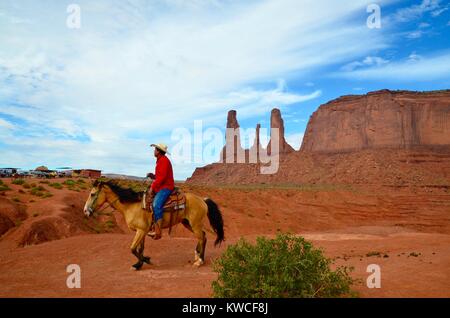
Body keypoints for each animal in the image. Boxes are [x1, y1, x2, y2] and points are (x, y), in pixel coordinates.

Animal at [82, 180, 225, 270]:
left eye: (92, 194)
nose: (85, 211)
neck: (131, 205)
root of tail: (203, 199)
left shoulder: (141, 231)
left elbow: (132, 248)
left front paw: (146, 260)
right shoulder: (142, 231)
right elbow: (140, 249)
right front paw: (138, 264)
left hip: (195, 224)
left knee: (201, 237)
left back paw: (199, 261)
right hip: (187, 223)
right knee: (204, 237)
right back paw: (199, 257)